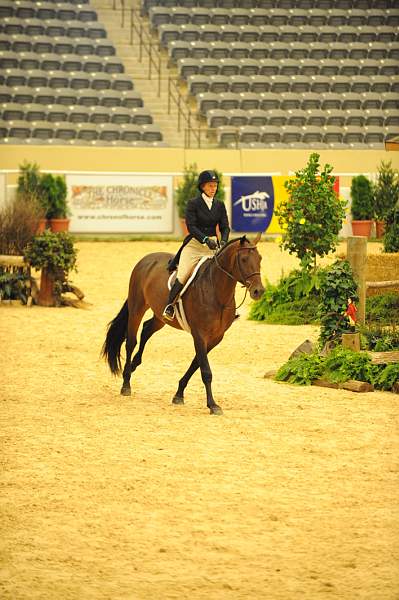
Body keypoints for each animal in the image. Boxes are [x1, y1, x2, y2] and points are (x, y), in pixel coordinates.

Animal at [101, 233, 266, 412]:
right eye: (243, 259)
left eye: (260, 258)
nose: (258, 291)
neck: (216, 292)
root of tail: (146, 259)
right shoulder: (199, 334)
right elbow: (205, 371)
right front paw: (212, 405)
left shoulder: (216, 337)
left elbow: (196, 364)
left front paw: (179, 394)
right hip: (137, 308)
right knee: (131, 341)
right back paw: (126, 383)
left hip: (160, 317)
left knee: (146, 329)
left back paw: (134, 365)